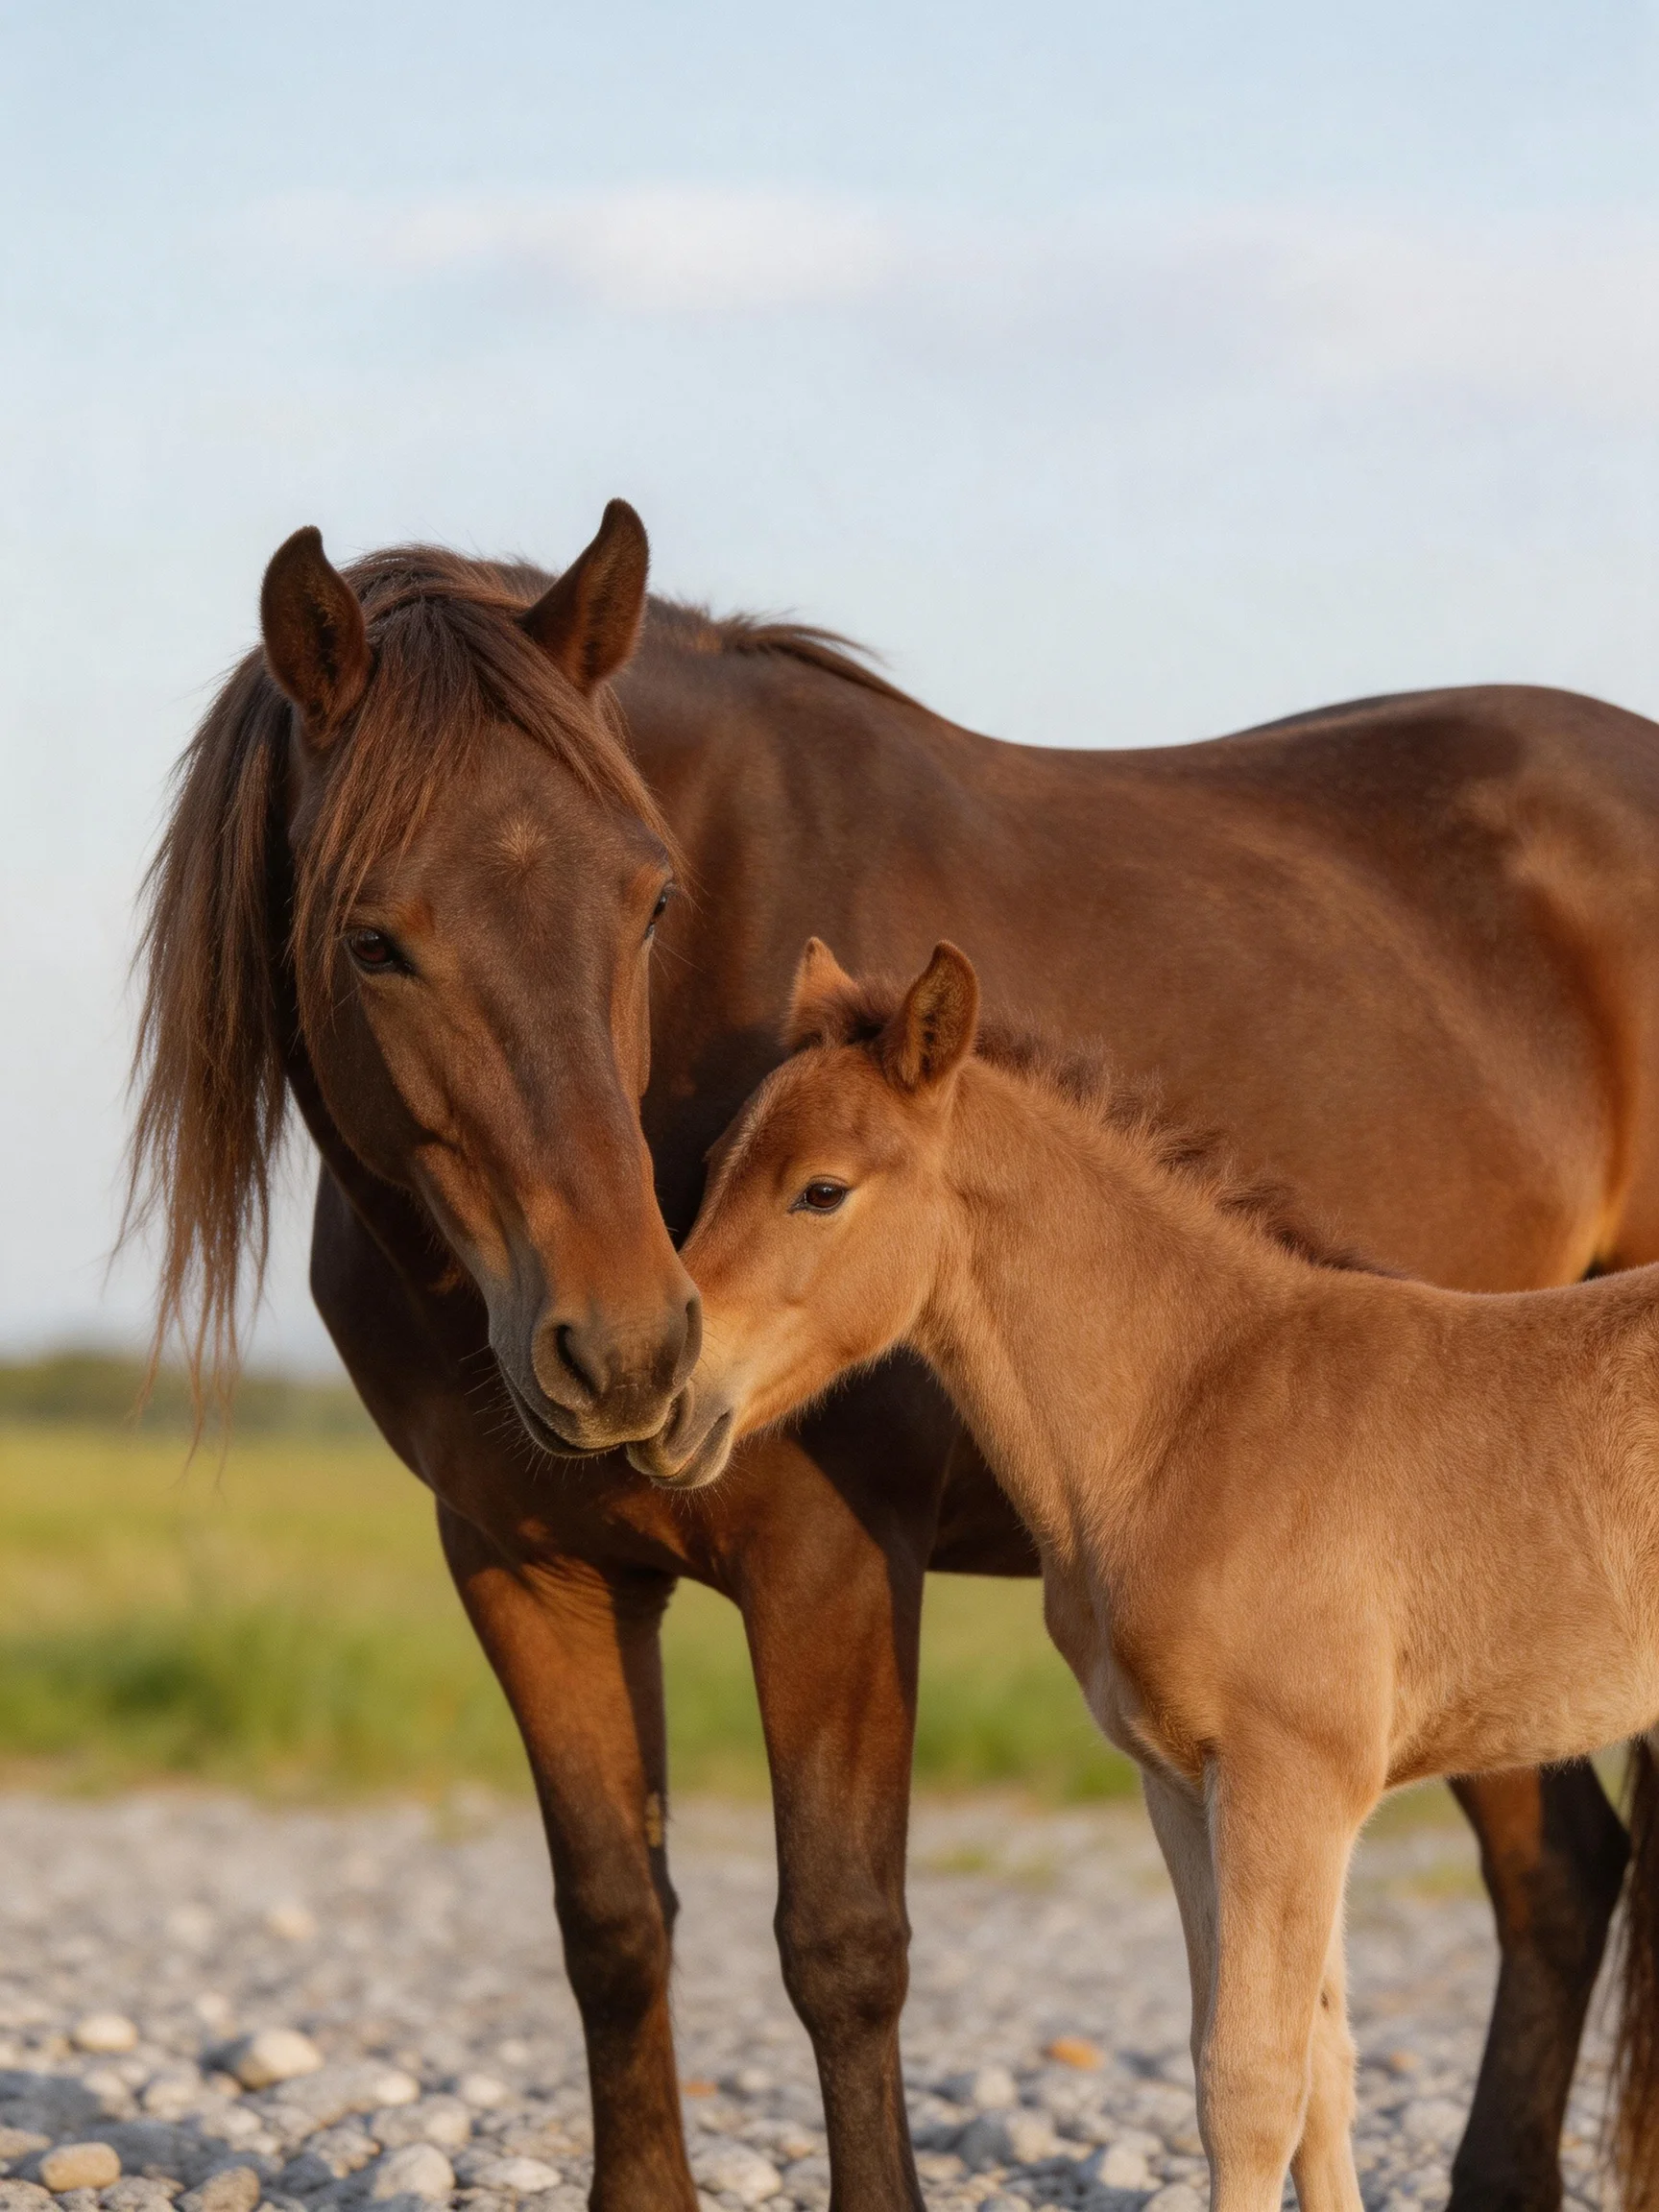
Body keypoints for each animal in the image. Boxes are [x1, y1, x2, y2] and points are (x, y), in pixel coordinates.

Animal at [629, 935, 1659, 2212]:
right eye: (713, 1166)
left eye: (821, 1189)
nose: (665, 1399)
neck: (1191, 1416)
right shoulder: (1184, 1784)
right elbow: (1319, 2070)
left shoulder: (1291, 1782)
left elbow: (1250, 2082)